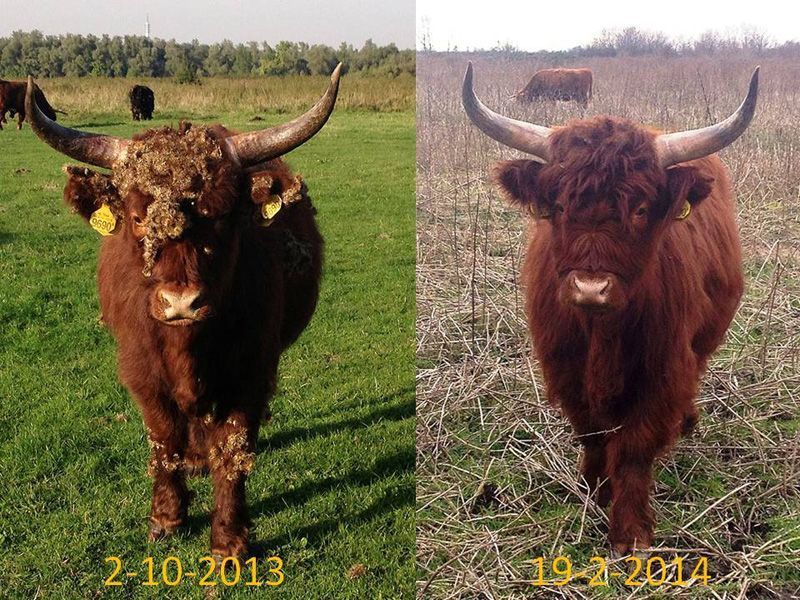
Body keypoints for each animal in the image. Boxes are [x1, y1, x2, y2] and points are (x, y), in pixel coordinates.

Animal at [25, 65, 342, 556]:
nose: (181, 303)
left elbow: (232, 449)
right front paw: (166, 517)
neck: (186, 348)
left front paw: (228, 541)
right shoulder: (141, 372)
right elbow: (163, 438)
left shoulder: (251, 372)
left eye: (222, 216)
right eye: (139, 218)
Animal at [462, 63, 756, 556]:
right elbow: (593, 433)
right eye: (559, 206)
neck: (602, 333)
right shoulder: (564, 365)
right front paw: (595, 490)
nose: (591, 288)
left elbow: (635, 448)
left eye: (640, 209)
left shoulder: (662, 369)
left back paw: (688, 422)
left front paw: (630, 531)